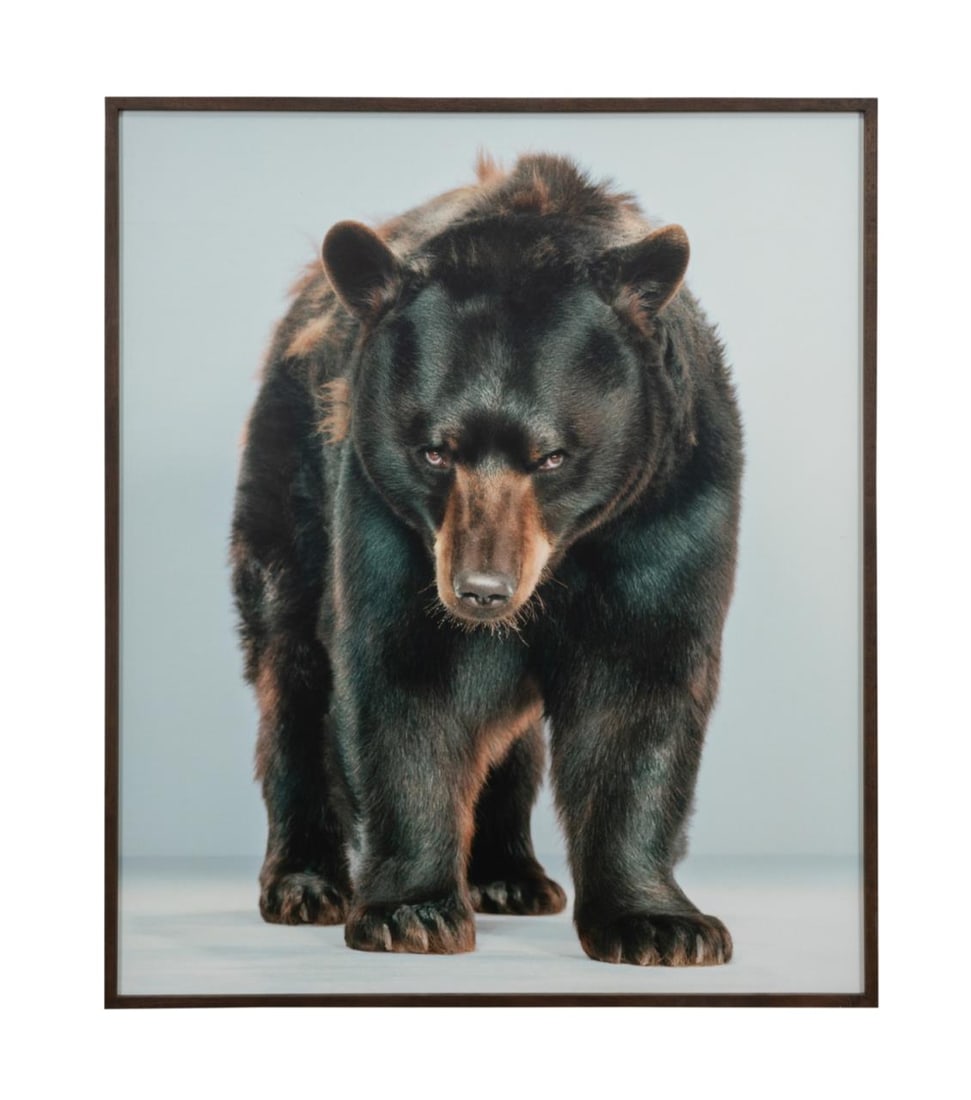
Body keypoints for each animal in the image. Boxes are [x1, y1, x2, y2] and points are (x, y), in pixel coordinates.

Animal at [231, 153, 743, 966]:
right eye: (434, 451)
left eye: (553, 456)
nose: (481, 590)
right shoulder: (386, 516)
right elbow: (405, 679)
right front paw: (410, 912)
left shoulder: (669, 505)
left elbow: (642, 688)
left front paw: (661, 924)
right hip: (291, 484)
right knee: (292, 667)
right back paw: (304, 881)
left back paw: (511, 875)